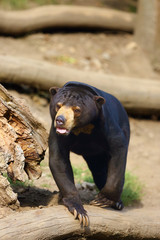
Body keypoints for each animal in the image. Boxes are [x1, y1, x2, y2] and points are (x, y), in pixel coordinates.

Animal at [49, 81, 130, 226]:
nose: (60, 120)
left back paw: (118, 203)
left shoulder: (108, 126)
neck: (82, 128)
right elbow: (58, 160)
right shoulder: (57, 133)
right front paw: (79, 211)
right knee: (99, 171)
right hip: (95, 156)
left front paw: (101, 200)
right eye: (58, 105)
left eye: (76, 110)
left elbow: (119, 150)